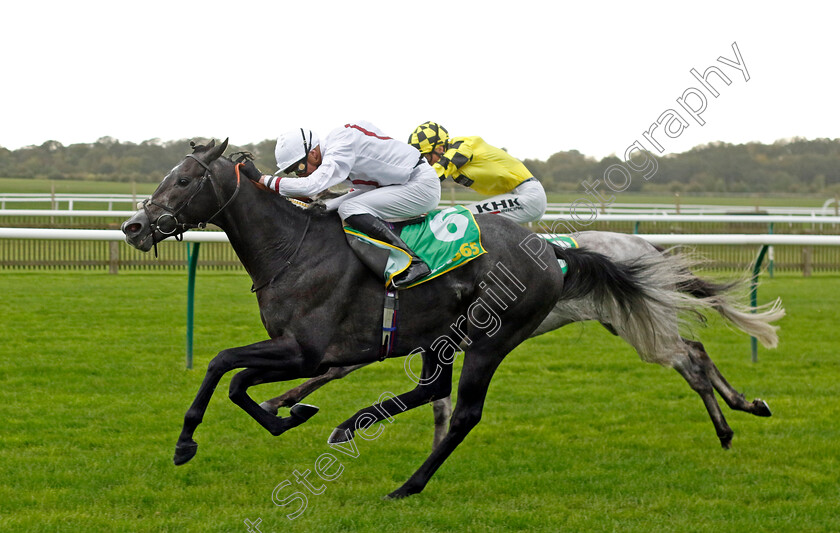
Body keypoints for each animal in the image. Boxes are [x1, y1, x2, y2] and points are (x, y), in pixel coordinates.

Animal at [121, 139, 784, 496]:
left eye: (184, 179)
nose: (133, 226)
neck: (294, 249)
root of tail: (553, 252)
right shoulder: (304, 351)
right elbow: (235, 379)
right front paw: (286, 416)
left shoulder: (308, 349)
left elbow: (224, 367)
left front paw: (191, 440)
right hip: (450, 337)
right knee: (434, 391)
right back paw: (353, 427)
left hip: (497, 338)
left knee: (465, 410)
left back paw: (406, 483)